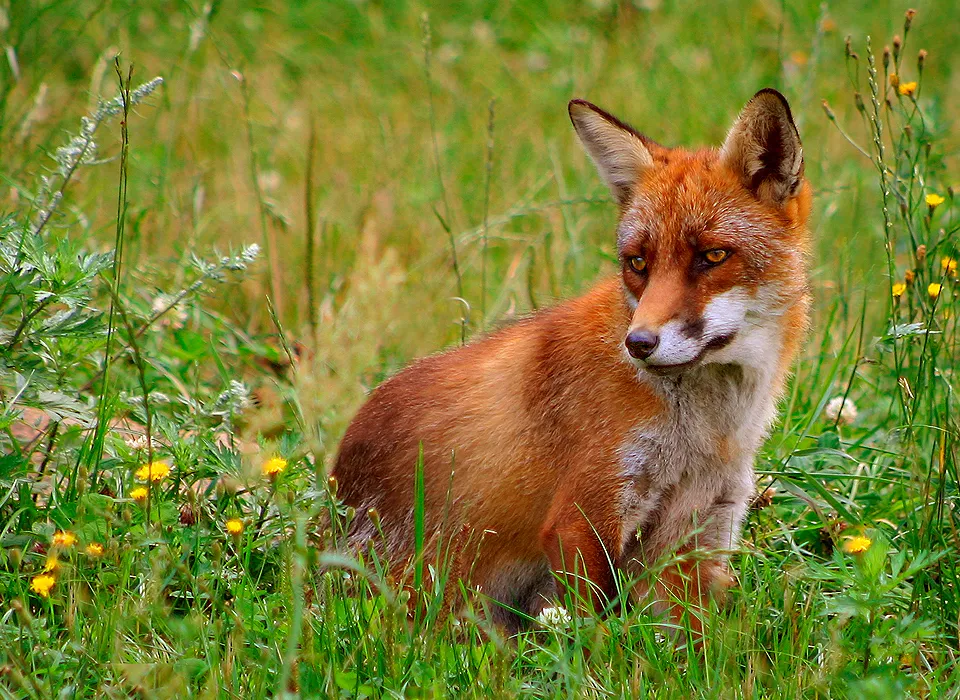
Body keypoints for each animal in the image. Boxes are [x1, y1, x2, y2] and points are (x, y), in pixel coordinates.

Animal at [332, 88, 811, 633]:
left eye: (712, 256)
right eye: (638, 263)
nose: (638, 343)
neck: (705, 433)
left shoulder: (699, 529)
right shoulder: (584, 513)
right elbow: (593, 635)